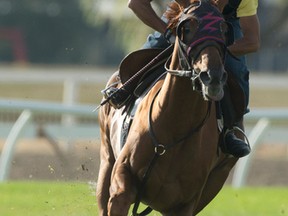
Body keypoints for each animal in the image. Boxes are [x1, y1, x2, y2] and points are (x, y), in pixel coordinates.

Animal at [97, 0, 236, 215]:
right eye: (186, 28)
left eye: (223, 28)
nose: (212, 77)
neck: (175, 127)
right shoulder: (122, 184)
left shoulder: (184, 203)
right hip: (106, 159)